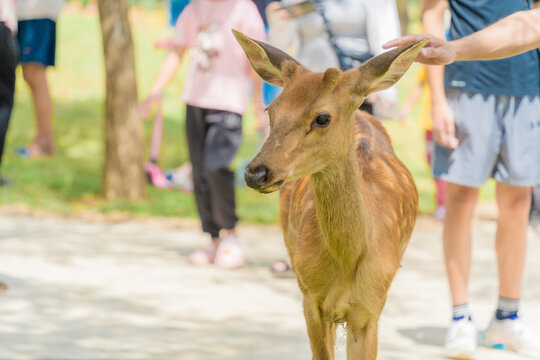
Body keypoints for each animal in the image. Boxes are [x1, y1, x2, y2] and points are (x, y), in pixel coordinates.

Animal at [234, 31, 428, 360]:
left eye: (323, 118)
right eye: (270, 109)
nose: (255, 173)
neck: (348, 261)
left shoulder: (371, 307)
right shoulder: (311, 298)